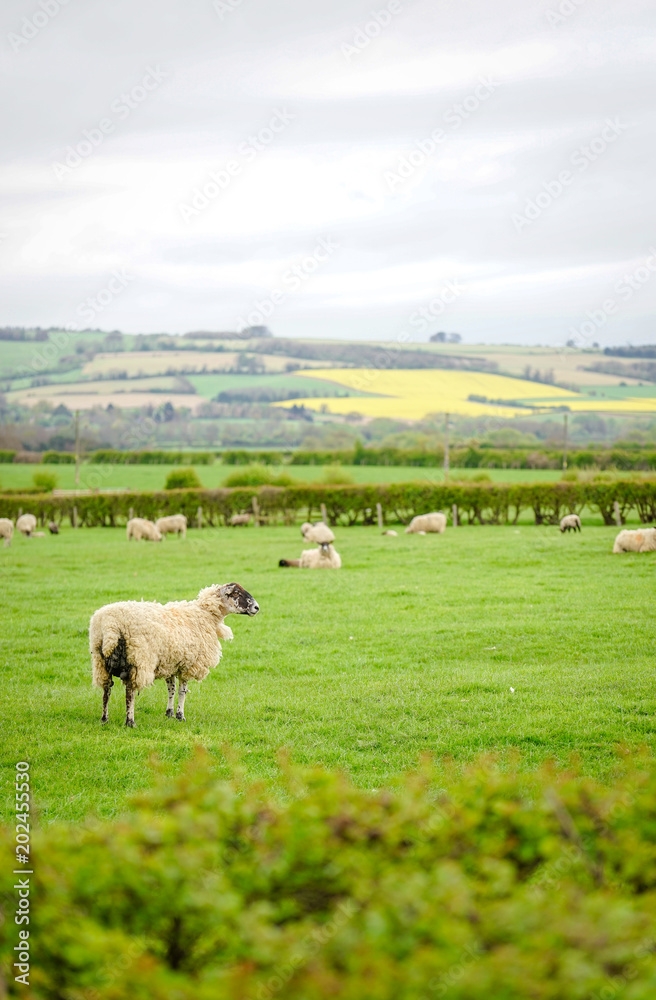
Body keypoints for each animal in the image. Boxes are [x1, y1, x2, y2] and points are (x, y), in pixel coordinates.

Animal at [90, 582, 259, 727]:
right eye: (236, 593)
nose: (257, 607)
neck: (205, 615)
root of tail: (110, 626)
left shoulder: (170, 662)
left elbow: (171, 688)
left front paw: (169, 713)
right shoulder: (189, 664)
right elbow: (182, 691)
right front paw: (180, 716)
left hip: (100, 662)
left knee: (106, 690)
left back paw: (104, 719)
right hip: (138, 659)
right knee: (130, 691)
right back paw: (130, 722)